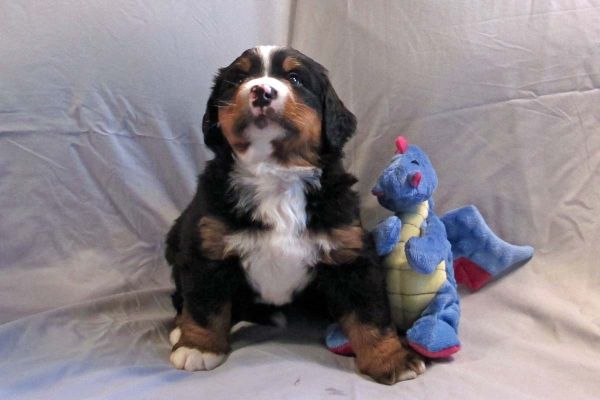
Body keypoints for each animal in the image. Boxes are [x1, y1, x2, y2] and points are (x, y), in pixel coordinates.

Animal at [164, 45, 424, 382]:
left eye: (295, 78)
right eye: (239, 79)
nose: (261, 91)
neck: (275, 174)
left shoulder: (350, 253)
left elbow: (369, 312)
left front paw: (391, 359)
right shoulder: (208, 248)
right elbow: (205, 304)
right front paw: (198, 347)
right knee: (182, 299)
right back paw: (179, 328)